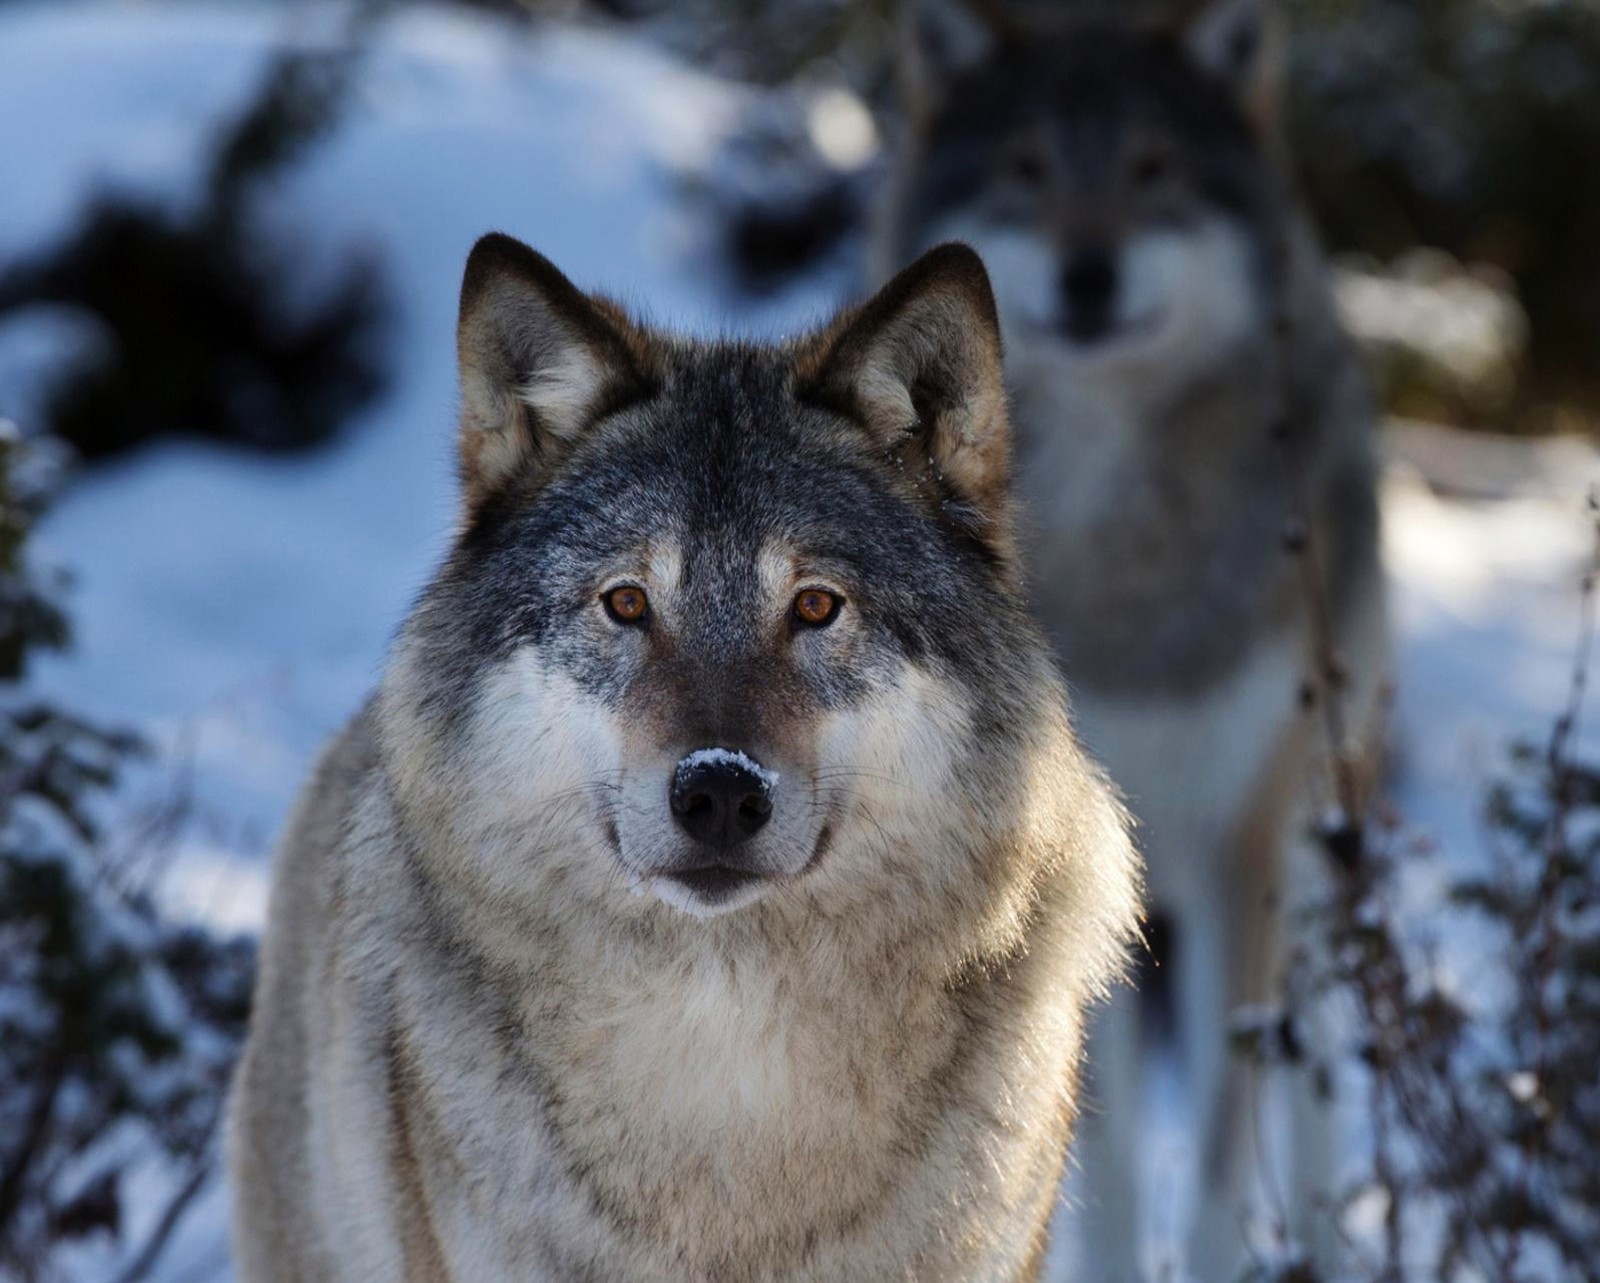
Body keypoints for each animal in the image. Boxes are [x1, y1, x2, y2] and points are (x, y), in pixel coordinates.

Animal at [876, 0, 1388, 1273]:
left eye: (1154, 171)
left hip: (1317, 827)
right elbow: (1091, 1152)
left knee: (1311, 1059)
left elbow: (1216, 1141)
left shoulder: (1240, 847)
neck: (1121, 552)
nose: (1088, 272)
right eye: (1025, 170)